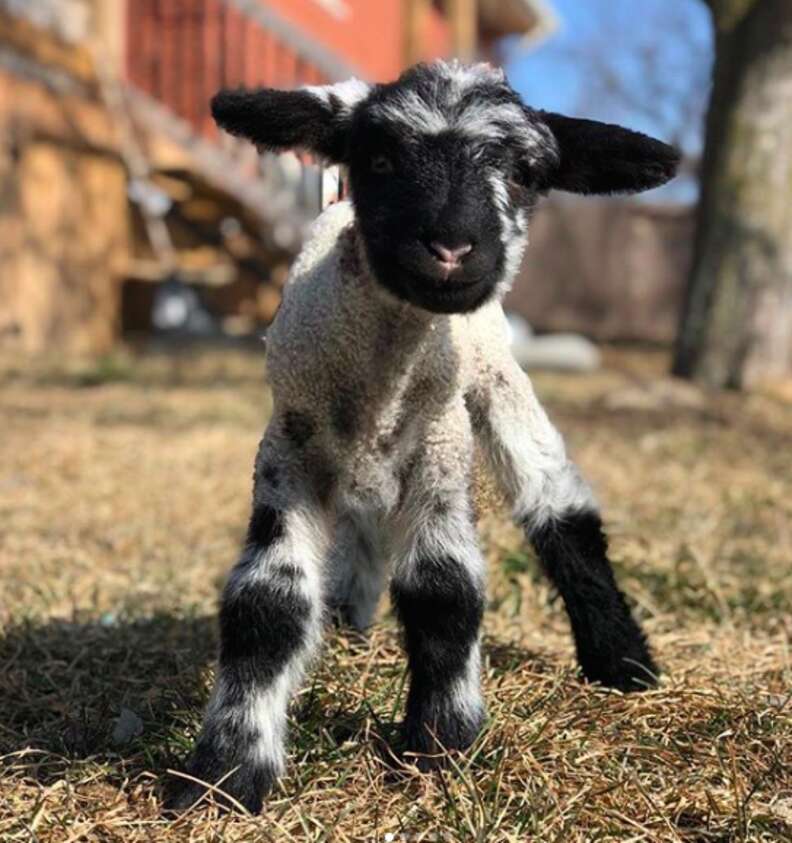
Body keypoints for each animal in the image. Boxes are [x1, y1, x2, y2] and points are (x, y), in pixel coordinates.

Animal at [167, 61, 676, 816]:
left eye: (524, 172)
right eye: (378, 159)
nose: (451, 246)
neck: (379, 384)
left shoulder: (440, 451)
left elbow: (445, 589)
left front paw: (440, 747)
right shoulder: (288, 451)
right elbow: (268, 600)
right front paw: (226, 772)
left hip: (497, 376)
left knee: (558, 503)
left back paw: (622, 660)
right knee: (363, 533)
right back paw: (346, 621)